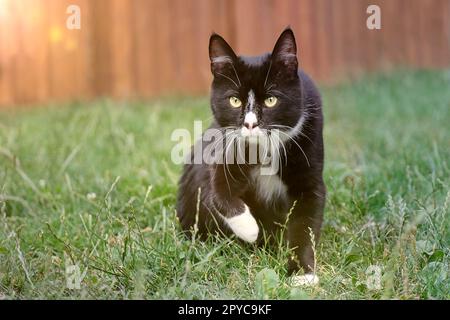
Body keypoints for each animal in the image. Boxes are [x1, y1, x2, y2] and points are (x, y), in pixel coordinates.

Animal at [174, 28, 326, 286]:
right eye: (235, 100)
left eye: (271, 100)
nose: (250, 124)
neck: (264, 148)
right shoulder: (224, 148)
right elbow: (218, 191)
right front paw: (249, 229)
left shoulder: (310, 171)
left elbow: (306, 221)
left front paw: (302, 274)